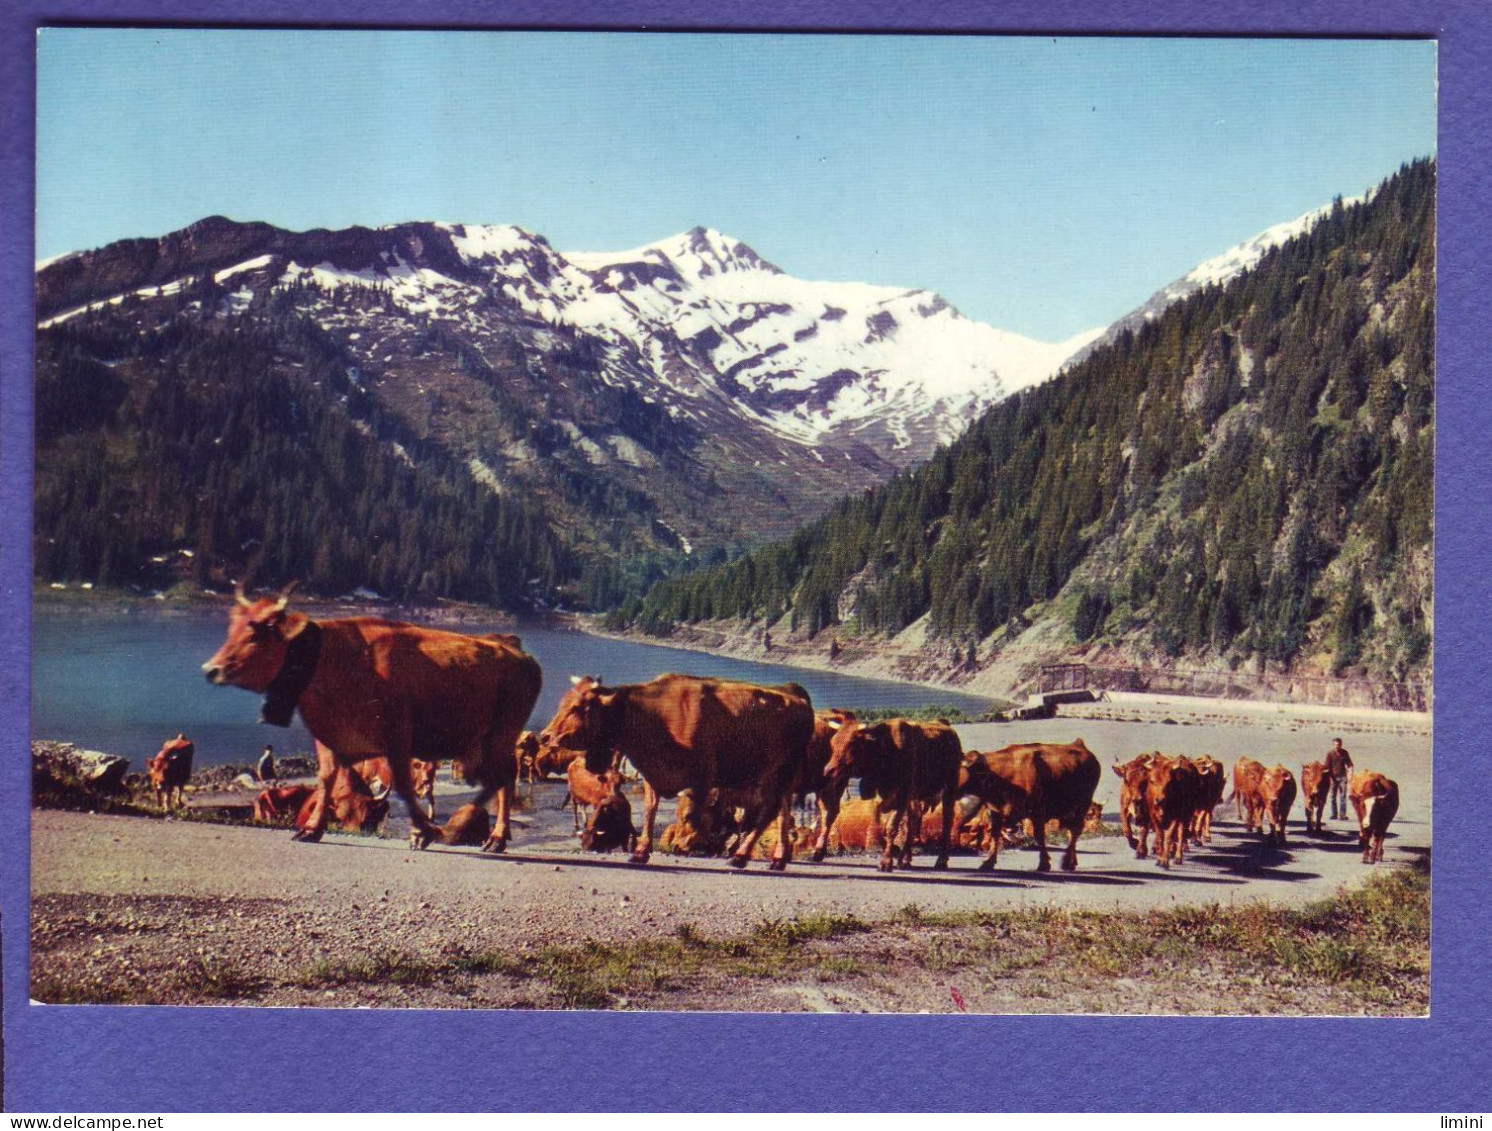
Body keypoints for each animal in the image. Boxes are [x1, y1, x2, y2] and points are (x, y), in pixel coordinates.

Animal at [202, 578, 543, 853]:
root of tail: (516, 649)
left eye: (260, 630)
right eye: (232, 625)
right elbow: (326, 779)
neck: (337, 659)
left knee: (503, 778)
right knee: (500, 778)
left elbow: (404, 786)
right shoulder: (328, 736)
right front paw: (311, 829)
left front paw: (423, 832)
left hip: (502, 734)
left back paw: (494, 838)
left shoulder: (397, 735)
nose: (211, 669)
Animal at [540, 677, 817, 871]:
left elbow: (694, 817)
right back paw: (778, 859)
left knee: (767, 813)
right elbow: (650, 811)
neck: (652, 715)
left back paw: (740, 856)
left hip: (774, 774)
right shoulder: (652, 775)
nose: (545, 735)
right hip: (785, 780)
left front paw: (696, 845)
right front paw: (640, 852)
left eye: (578, 707)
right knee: (782, 814)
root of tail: (794, 692)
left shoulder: (702, 778)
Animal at [823, 722, 960, 871]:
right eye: (833, 742)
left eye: (851, 744)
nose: (829, 770)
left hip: (949, 789)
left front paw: (886, 862)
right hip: (915, 798)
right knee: (913, 822)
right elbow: (879, 824)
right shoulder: (881, 798)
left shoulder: (901, 797)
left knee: (947, 822)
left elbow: (891, 828)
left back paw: (941, 860)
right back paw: (905, 859)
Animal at [960, 743, 1104, 877]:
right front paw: (988, 862)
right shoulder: (996, 813)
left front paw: (1044, 864)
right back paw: (1072, 861)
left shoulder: (1037, 813)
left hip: (1082, 805)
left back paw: (1067, 862)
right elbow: (995, 835)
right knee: (1071, 831)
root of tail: (1079, 745)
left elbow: (1039, 836)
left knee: (1075, 830)